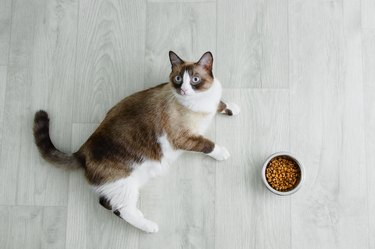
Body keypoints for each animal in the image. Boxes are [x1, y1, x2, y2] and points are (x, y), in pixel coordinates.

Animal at [34, 51, 241, 233]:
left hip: (136, 178)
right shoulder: (182, 138)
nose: (183, 89)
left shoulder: (212, 104)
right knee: (119, 208)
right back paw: (149, 226)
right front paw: (222, 153)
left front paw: (233, 108)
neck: (200, 101)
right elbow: (208, 144)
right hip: (125, 183)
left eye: (195, 80)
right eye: (178, 79)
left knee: (107, 203)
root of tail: (82, 151)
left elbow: (221, 104)